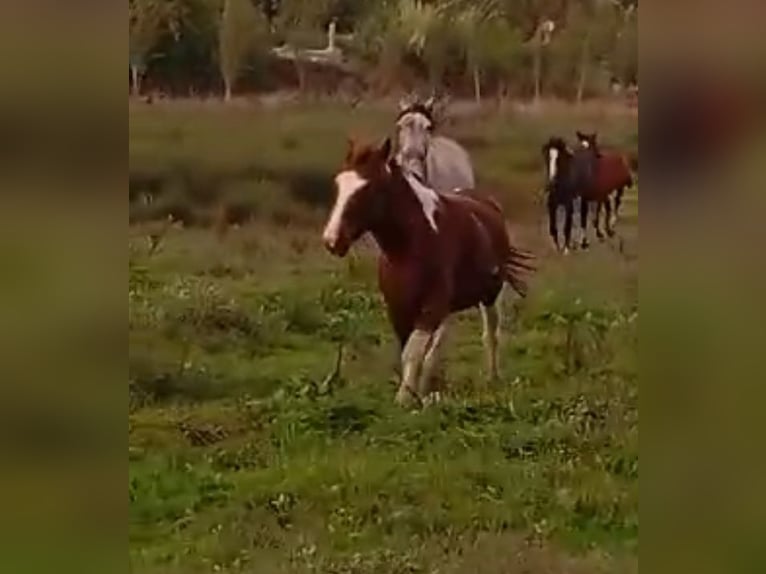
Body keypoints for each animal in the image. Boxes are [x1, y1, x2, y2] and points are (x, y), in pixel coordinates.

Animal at [322, 137, 536, 408]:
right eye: (339, 183)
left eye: (368, 188)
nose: (332, 240)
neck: (412, 244)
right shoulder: (398, 308)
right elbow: (409, 350)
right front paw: (414, 393)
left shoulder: (431, 307)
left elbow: (414, 351)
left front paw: (405, 398)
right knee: (441, 342)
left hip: (488, 296)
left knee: (490, 334)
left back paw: (492, 377)